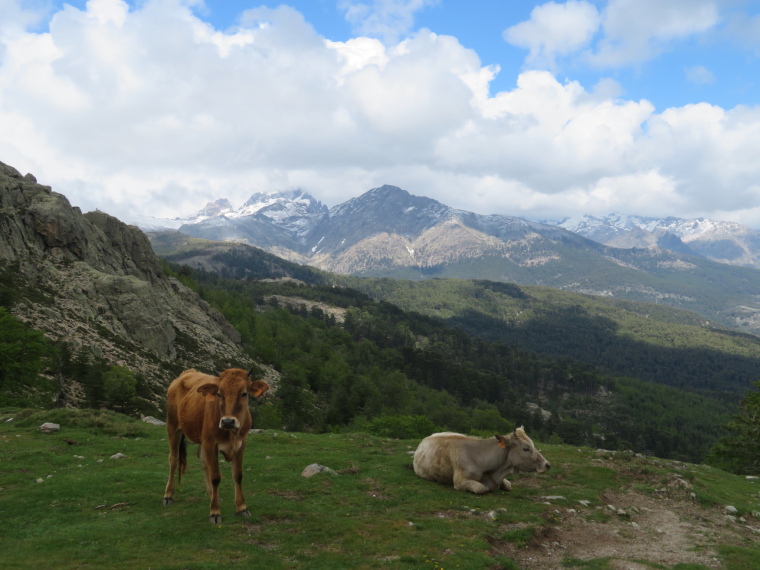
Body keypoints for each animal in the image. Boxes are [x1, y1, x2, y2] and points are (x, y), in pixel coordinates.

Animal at [162, 366, 268, 520]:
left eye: (244, 393)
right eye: (219, 393)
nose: (228, 421)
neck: (230, 434)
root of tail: (187, 372)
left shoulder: (241, 444)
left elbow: (238, 475)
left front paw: (241, 507)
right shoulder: (210, 444)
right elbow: (216, 477)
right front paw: (215, 512)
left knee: (203, 462)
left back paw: (213, 495)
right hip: (173, 426)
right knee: (174, 459)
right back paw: (168, 495)